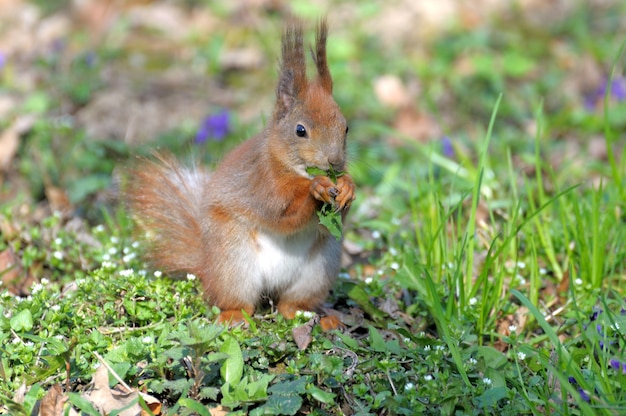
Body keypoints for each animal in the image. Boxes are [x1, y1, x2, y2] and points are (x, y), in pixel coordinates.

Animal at [124, 20, 354, 328]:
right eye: (300, 130)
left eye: (346, 127)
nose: (335, 162)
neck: (290, 168)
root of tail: (207, 269)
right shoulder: (261, 183)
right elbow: (282, 216)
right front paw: (315, 188)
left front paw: (348, 186)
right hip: (232, 260)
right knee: (238, 301)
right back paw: (233, 316)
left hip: (320, 266)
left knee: (291, 304)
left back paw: (314, 316)